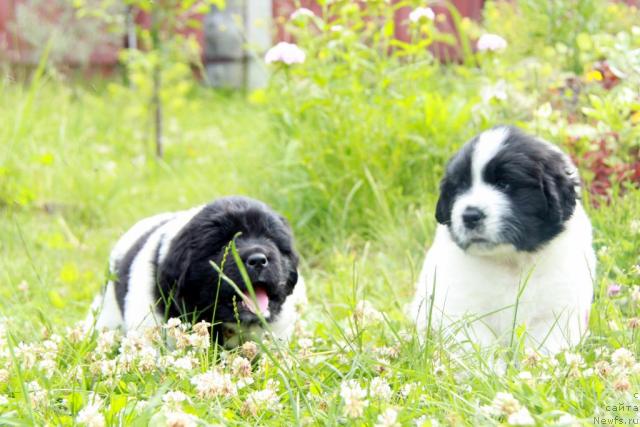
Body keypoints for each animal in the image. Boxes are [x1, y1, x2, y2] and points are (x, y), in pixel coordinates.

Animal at [410, 126, 596, 354]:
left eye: (504, 184)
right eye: (460, 187)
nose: (470, 215)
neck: (510, 262)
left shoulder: (557, 311)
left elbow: (544, 347)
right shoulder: (463, 311)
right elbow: (479, 347)